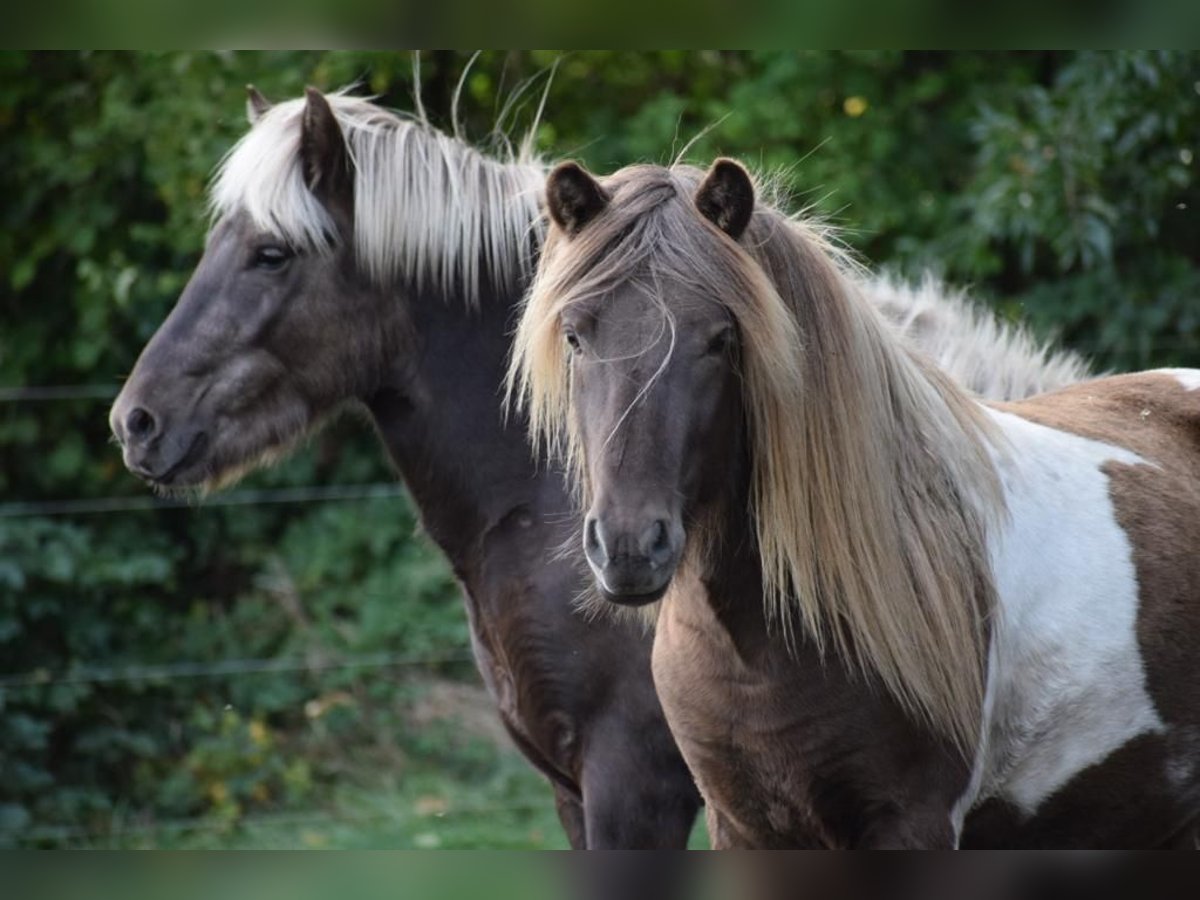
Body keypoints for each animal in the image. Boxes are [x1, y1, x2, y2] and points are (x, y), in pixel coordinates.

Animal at [513, 158, 1200, 849]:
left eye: (720, 339)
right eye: (574, 337)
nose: (629, 547)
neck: (757, 647)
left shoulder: (910, 824)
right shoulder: (740, 825)